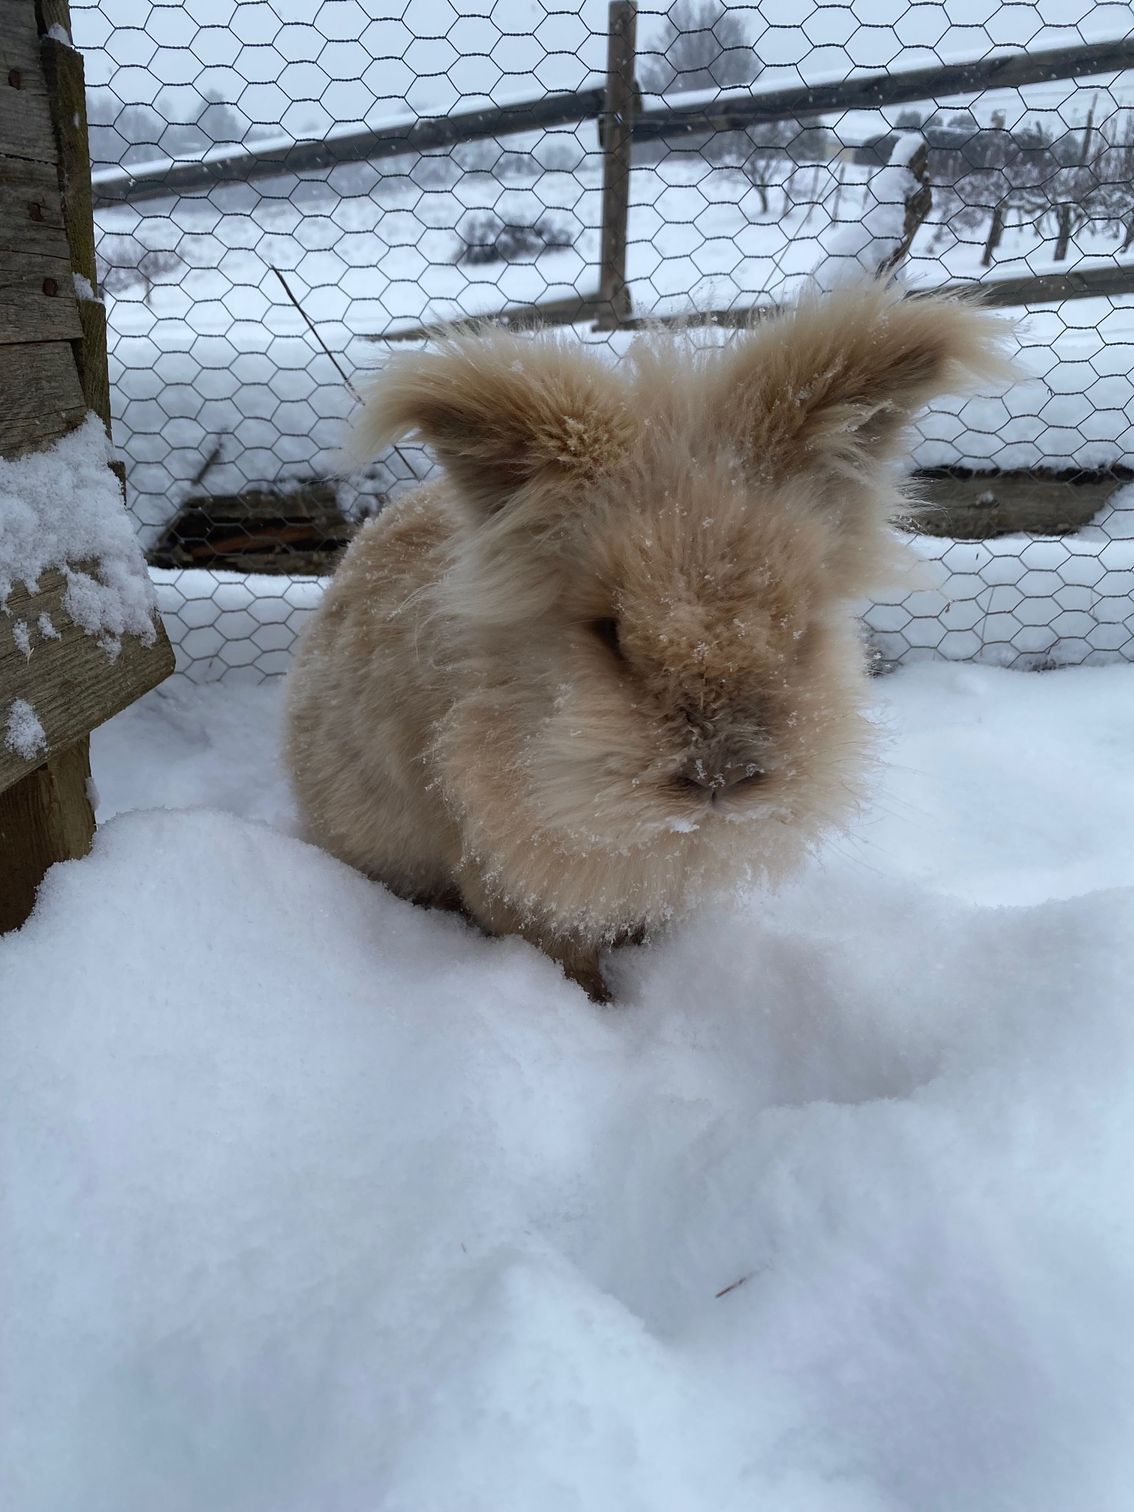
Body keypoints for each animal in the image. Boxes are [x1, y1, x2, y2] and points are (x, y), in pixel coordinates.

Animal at [285, 280, 1013, 1001]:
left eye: (799, 624)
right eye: (608, 632)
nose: (722, 778)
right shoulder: (509, 877)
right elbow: (563, 957)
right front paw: (599, 1006)